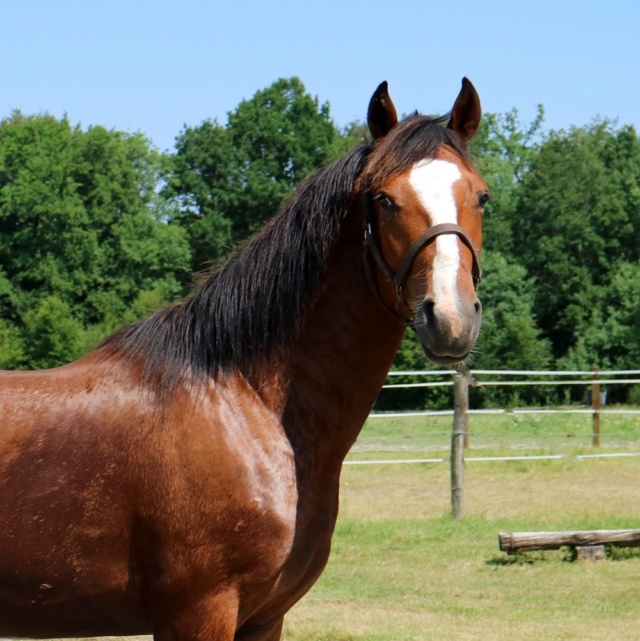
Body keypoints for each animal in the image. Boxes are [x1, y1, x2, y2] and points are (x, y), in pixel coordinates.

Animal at [0, 80, 488, 640]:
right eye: (383, 200)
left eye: (482, 196)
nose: (450, 316)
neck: (244, 405)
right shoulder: (197, 614)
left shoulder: (265, 617)